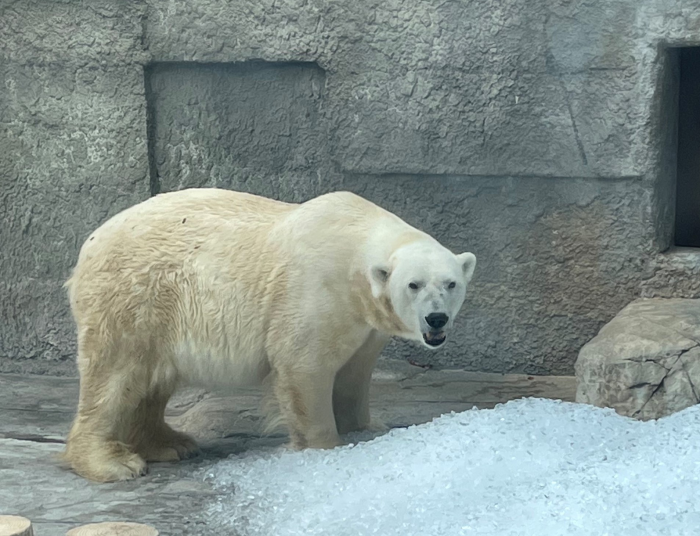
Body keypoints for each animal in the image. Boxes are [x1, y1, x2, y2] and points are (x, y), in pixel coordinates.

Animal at [63, 187, 476, 482]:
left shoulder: (363, 324)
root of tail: (87, 247)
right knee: (114, 376)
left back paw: (172, 444)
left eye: (451, 283)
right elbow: (304, 366)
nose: (436, 319)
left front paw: (367, 427)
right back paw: (113, 463)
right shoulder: (315, 292)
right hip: (134, 297)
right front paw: (325, 447)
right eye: (413, 284)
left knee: (152, 380)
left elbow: (354, 375)